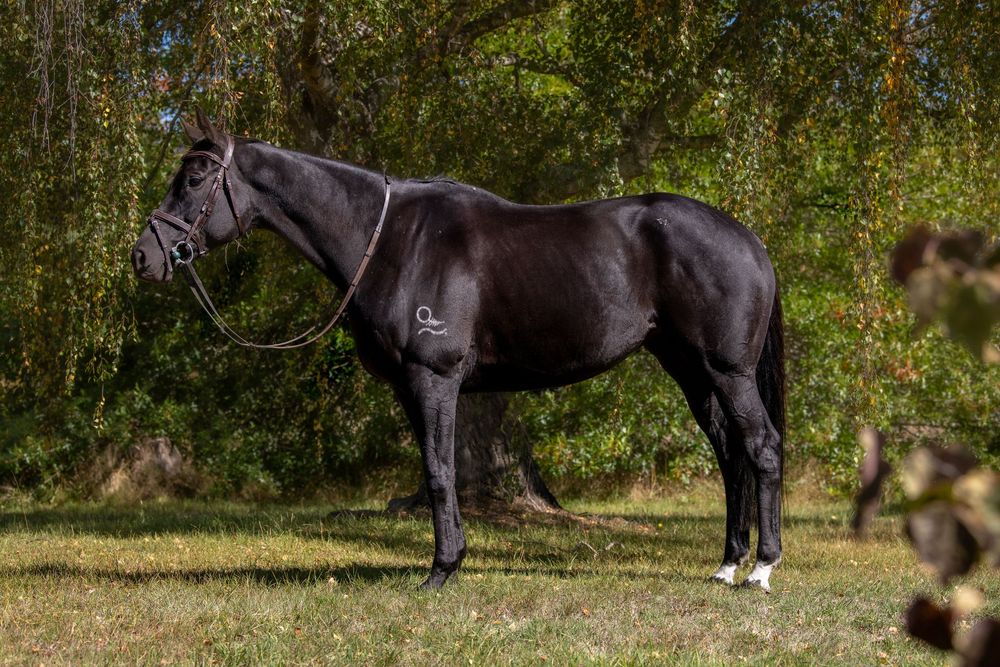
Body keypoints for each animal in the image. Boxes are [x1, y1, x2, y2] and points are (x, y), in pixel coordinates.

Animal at [131, 110, 786, 591]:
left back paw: (760, 569)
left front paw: (442, 572)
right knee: (731, 455)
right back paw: (726, 565)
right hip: (692, 371)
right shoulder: (410, 388)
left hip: (728, 371)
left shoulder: (434, 379)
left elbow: (441, 472)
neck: (389, 240)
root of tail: (748, 239)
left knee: (761, 448)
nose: (144, 255)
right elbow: (434, 469)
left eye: (194, 180)